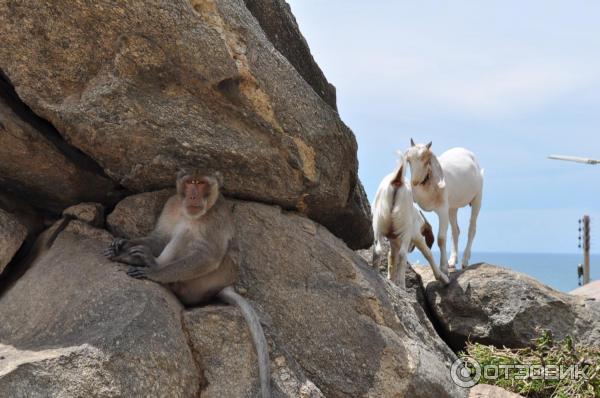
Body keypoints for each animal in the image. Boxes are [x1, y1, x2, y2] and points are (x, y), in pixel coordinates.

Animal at [370, 153, 450, 290]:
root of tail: (397, 180)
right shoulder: (417, 236)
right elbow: (428, 253)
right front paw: (443, 278)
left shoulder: (394, 240)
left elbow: (392, 257)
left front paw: (391, 279)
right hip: (405, 230)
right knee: (403, 255)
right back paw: (402, 285)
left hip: (379, 223)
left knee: (378, 249)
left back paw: (376, 272)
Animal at [404, 140, 482, 274]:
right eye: (409, 159)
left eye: (426, 159)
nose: (414, 182)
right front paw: (447, 264)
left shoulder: (442, 210)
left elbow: (441, 238)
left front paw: (443, 267)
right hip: (453, 207)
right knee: (455, 231)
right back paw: (452, 261)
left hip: (477, 197)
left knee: (472, 228)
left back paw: (465, 261)